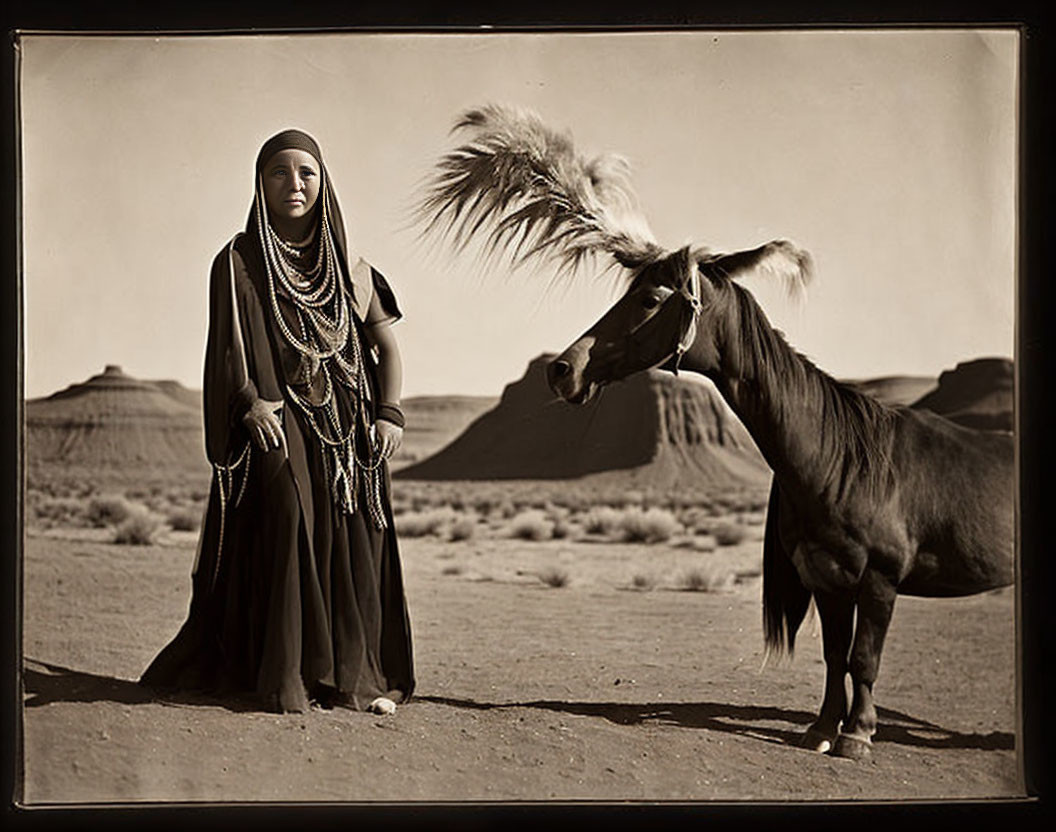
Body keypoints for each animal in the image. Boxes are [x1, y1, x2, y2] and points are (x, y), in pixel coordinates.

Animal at [413, 103, 1013, 760]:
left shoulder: (878, 581)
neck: (838, 460)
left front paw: (856, 735)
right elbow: (835, 658)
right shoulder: (828, 578)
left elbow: (864, 659)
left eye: (651, 298)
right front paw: (821, 730)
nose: (560, 368)